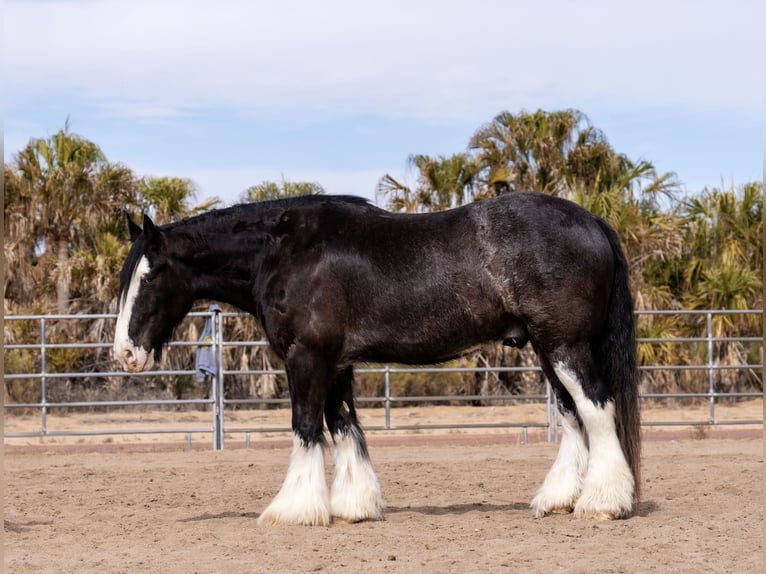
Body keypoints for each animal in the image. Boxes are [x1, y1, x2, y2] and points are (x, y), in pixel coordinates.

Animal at [114, 192, 640, 528]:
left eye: (151, 274)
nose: (125, 353)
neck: (282, 251)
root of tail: (592, 221)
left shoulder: (306, 357)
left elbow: (306, 425)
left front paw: (293, 509)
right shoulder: (335, 362)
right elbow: (343, 425)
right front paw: (355, 506)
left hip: (566, 347)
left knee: (596, 409)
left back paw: (604, 503)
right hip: (546, 349)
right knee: (573, 416)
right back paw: (558, 501)